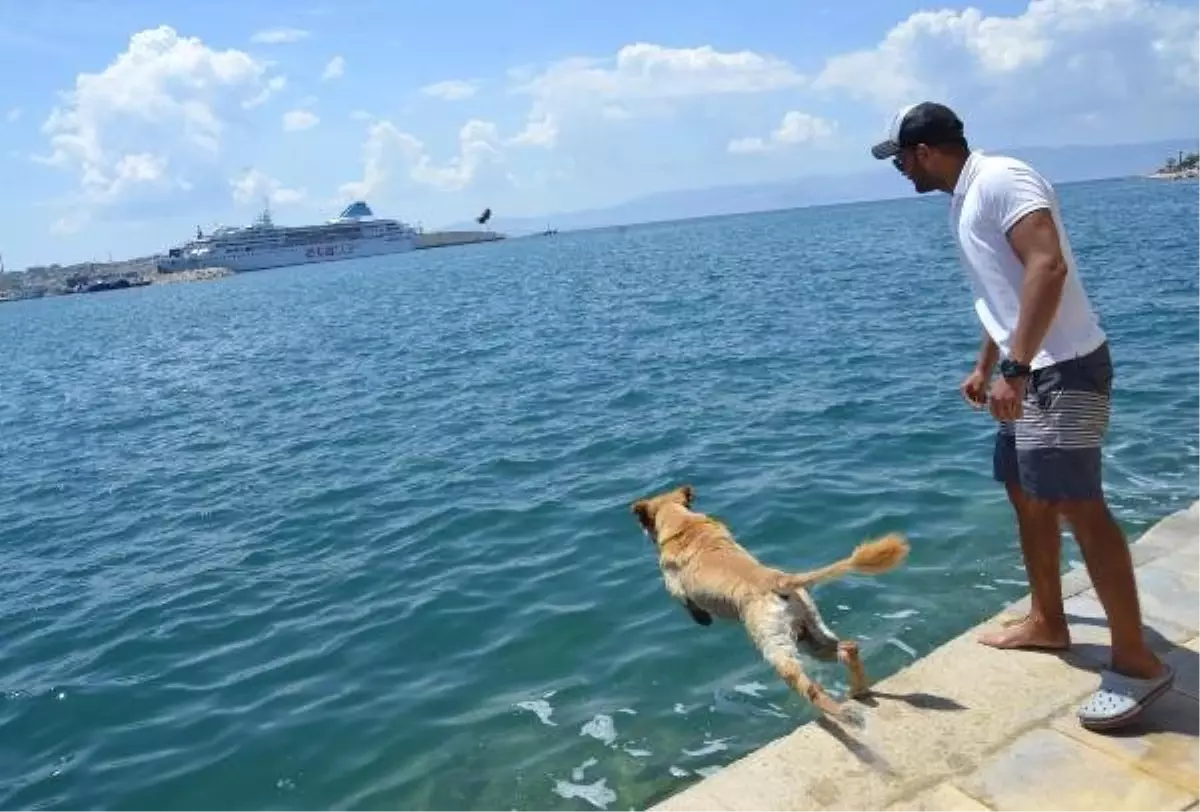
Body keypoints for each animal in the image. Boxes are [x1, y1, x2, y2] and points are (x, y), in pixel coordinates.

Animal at [633, 484, 902, 724]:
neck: (682, 521)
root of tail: (778, 581)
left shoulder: (675, 586)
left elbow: (687, 603)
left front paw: (702, 618)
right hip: (811, 634)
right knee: (848, 649)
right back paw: (858, 690)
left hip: (776, 647)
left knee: (811, 688)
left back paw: (842, 713)